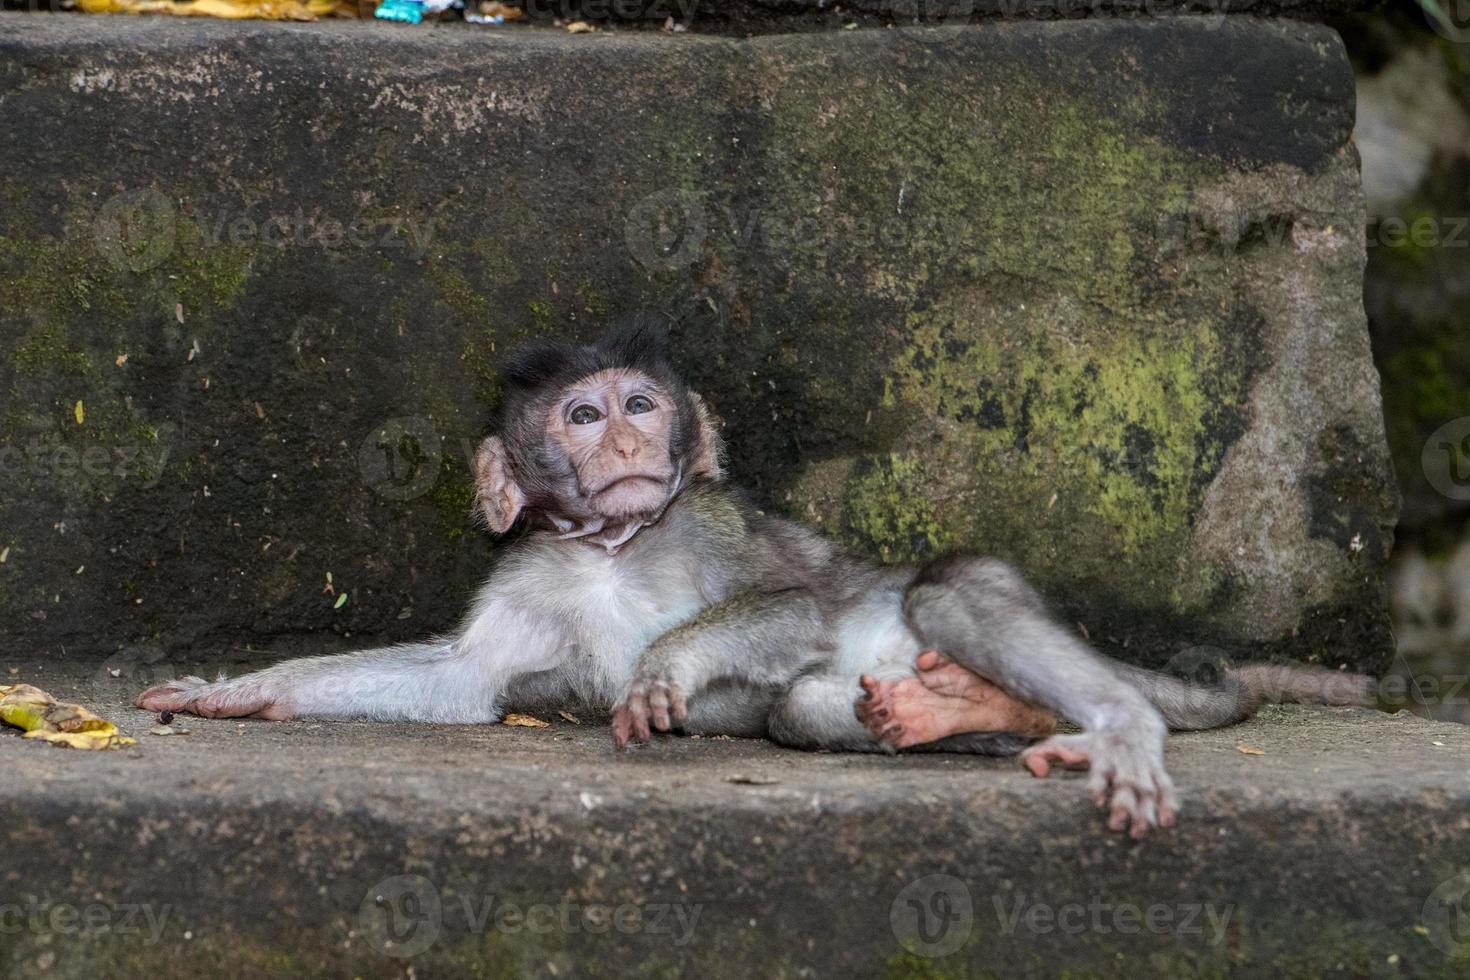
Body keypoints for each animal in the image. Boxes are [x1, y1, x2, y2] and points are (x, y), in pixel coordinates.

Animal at [140, 318, 1375, 840]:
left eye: (642, 404)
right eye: (581, 414)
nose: (626, 443)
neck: (612, 546)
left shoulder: (714, 525)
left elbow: (790, 604)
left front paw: (662, 671)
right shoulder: (534, 568)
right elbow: (463, 681)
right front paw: (238, 692)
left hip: (981, 604)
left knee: (936, 598)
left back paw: (1111, 723)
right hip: (874, 693)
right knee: (809, 707)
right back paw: (957, 709)